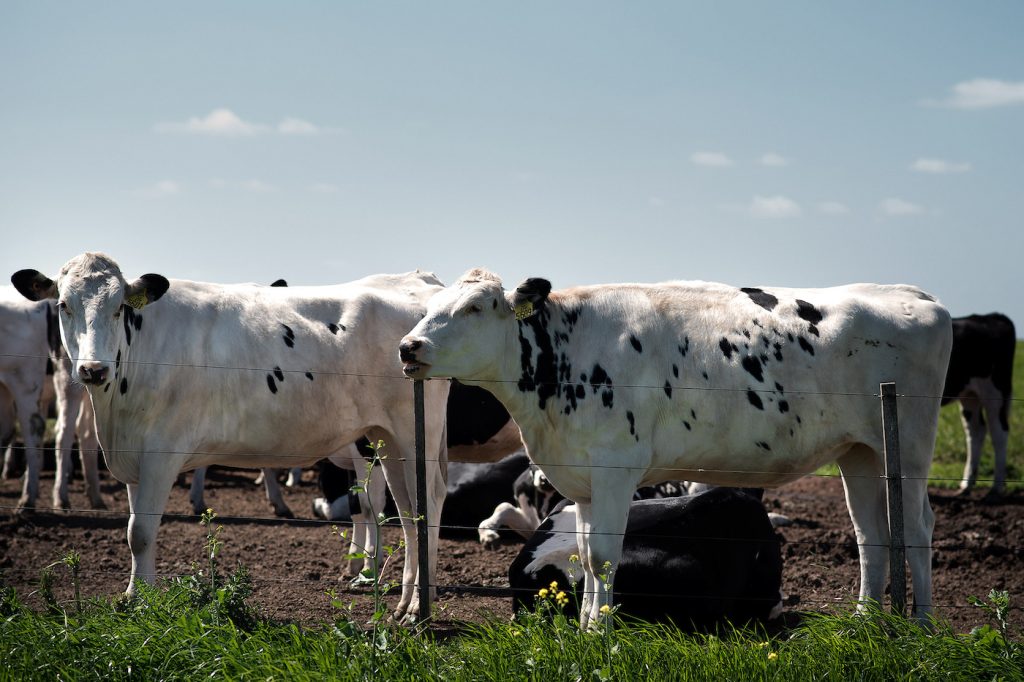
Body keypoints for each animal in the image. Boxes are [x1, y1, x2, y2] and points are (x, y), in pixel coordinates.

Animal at [11, 251, 452, 618]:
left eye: (119, 307)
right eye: (63, 305)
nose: (93, 369)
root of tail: (419, 279)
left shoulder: (161, 453)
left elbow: (141, 533)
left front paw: (139, 601)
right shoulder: (135, 459)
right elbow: (137, 531)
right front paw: (138, 596)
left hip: (416, 436)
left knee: (428, 504)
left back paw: (418, 608)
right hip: (387, 437)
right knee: (408, 512)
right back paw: (403, 602)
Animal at [942, 311, 1015, 493]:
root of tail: (990, 316)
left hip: (995, 392)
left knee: (999, 432)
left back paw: (997, 487)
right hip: (969, 396)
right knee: (976, 431)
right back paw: (967, 483)